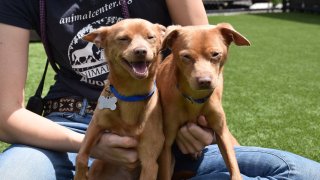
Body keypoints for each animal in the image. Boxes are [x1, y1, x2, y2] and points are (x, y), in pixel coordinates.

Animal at [74, 18, 165, 180]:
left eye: (150, 37)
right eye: (123, 39)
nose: (141, 51)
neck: (131, 93)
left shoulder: (150, 163)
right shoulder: (95, 124)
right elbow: (81, 157)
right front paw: (80, 175)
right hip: (98, 164)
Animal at [157, 23, 250, 180]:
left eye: (215, 54)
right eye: (186, 56)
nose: (204, 81)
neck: (195, 99)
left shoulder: (221, 132)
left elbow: (232, 163)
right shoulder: (166, 144)